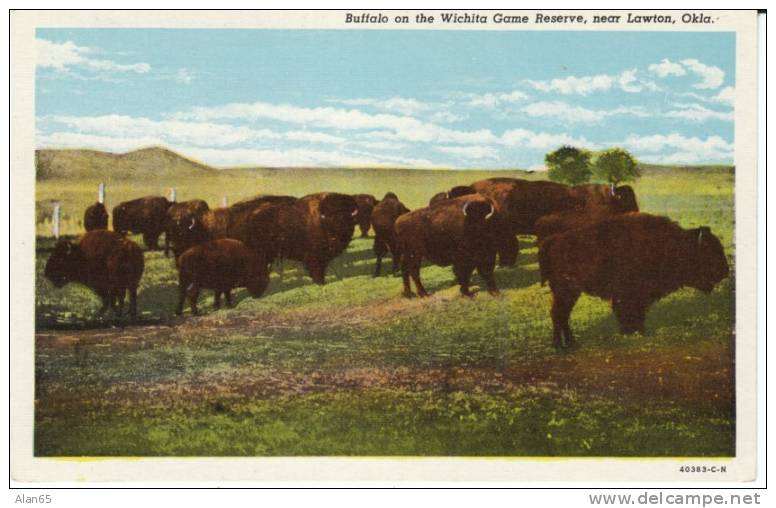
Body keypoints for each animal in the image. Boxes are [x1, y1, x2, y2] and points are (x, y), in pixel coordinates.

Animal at [536, 213, 732, 350]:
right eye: (710, 251)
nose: (725, 271)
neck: (676, 245)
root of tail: (554, 241)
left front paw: (633, 331)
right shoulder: (633, 295)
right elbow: (631, 311)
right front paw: (635, 331)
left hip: (568, 293)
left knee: (562, 315)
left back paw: (571, 343)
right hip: (567, 291)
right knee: (559, 314)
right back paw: (560, 346)